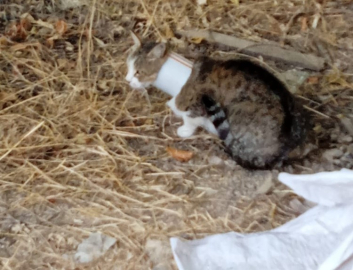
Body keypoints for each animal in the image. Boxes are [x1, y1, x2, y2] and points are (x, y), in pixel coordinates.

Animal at [125, 31, 306, 169]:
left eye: (138, 72)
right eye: (128, 67)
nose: (127, 80)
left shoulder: (197, 107)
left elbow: (191, 120)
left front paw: (185, 130)